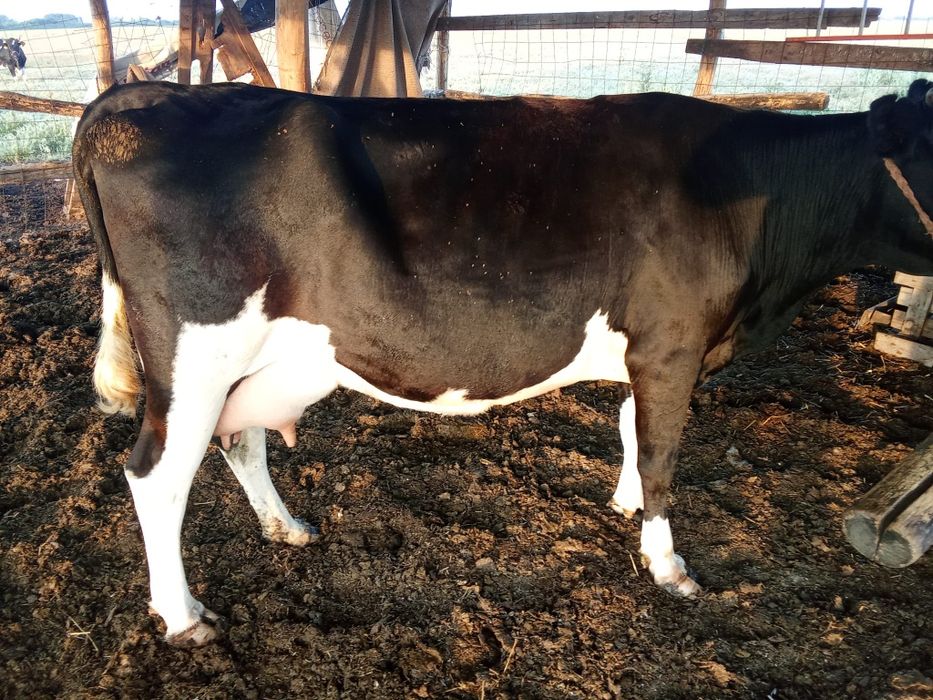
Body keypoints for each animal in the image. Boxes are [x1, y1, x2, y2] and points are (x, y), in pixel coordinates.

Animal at [72, 79, 933, 646]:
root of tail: (144, 96)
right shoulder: (672, 344)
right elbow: (660, 453)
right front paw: (666, 563)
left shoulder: (651, 351)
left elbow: (629, 428)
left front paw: (622, 506)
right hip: (194, 352)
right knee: (156, 474)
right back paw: (184, 617)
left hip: (262, 358)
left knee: (238, 437)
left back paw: (286, 528)